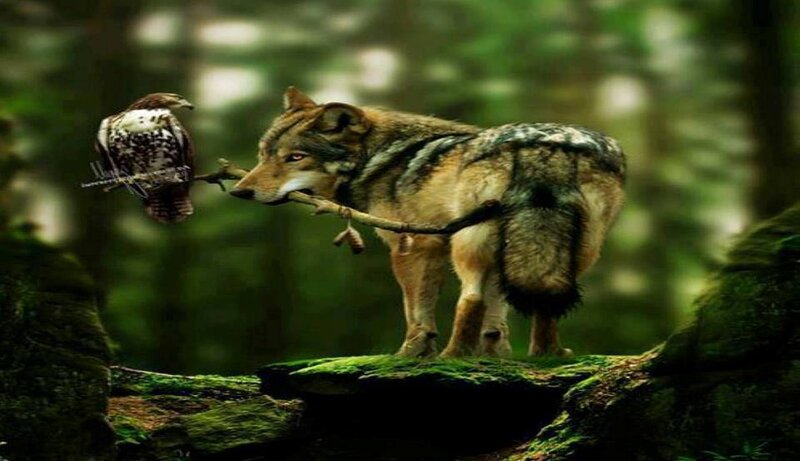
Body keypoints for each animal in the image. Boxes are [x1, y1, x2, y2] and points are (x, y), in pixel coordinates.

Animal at [231, 87, 625, 358]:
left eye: (295, 157)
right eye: (263, 155)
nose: (239, 191)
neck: (378, 160)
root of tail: (549, 145)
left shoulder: (412, 246)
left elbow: (416, 313)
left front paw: (410, 355)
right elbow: (497, 319)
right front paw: (495, 357)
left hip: (469, 241)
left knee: (470, 297)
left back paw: (454, 356)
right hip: (578, 249)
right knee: (545, 300)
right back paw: (546, 355)